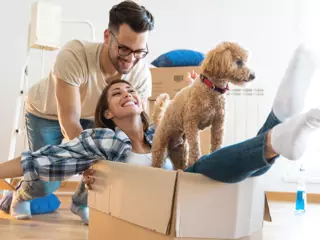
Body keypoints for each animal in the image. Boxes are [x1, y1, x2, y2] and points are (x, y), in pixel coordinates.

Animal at [152, 41, 255, 170]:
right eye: (239, 62)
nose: (253, 75)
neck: (212, 89)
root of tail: (159, 123)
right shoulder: (191, 123)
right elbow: (195, 145)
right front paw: (194, 161)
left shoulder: (218, 123)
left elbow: (217, 141)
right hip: (160, 150)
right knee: (157, 163)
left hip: (180, 152)